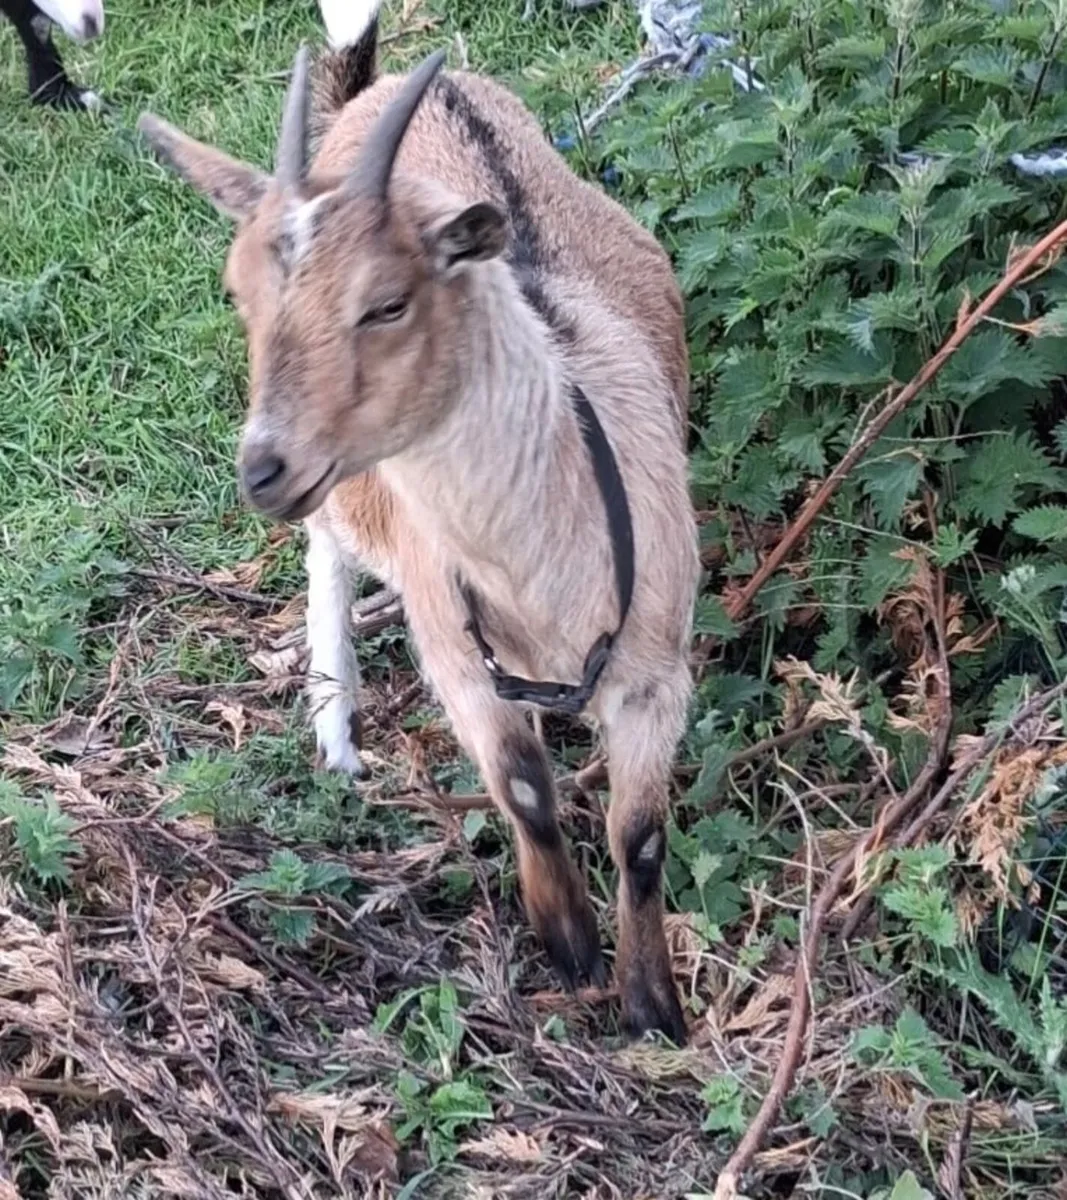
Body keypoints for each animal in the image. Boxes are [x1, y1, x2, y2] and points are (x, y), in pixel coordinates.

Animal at [135, 0, 699, 1044]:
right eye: (241, 297)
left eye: (388, 302)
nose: (262, 468)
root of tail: (390, 88)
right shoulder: (455, 655)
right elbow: (523, 789)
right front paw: (568, 945)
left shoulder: (655, 671)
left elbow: (638, 836)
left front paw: (653, 1010)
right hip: (347, 499)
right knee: (327, 551)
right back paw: (335, 725)